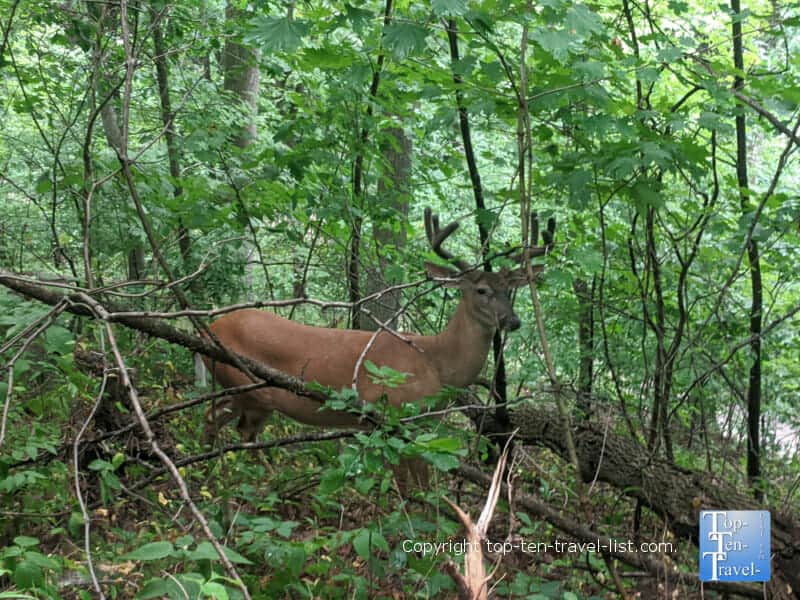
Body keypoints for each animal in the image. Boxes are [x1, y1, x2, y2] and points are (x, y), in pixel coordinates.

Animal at [202, 208, 555, 484]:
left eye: (509, 290)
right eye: (481, 290)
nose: (513, 321)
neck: (437, 362)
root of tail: (211, 327)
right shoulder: (394, 414)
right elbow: (411, 481)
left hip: (237, 387)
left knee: (215, 418)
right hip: (253, 390)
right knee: (241, 430)